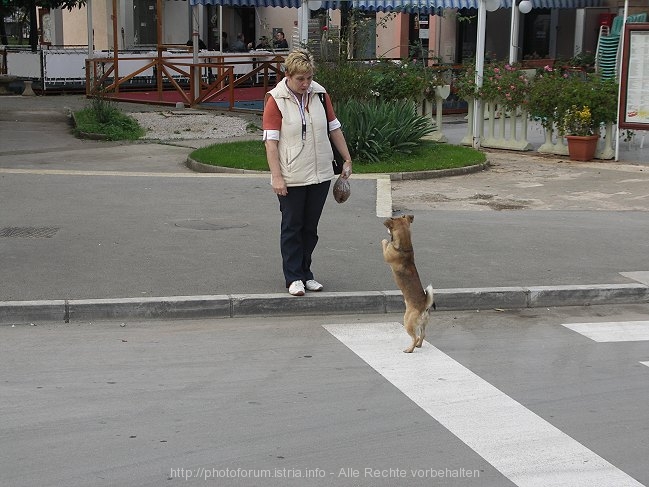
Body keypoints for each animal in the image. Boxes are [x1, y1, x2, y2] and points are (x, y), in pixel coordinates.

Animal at [382, 215, 432, 352]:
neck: (405, 248)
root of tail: (423, 307)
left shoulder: (386, 254)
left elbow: (385, 243)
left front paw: (386, 240)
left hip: (407, 322)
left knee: (414, 337)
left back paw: (410, 349)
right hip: (423, 324)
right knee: (422, 335)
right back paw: (419, 345)